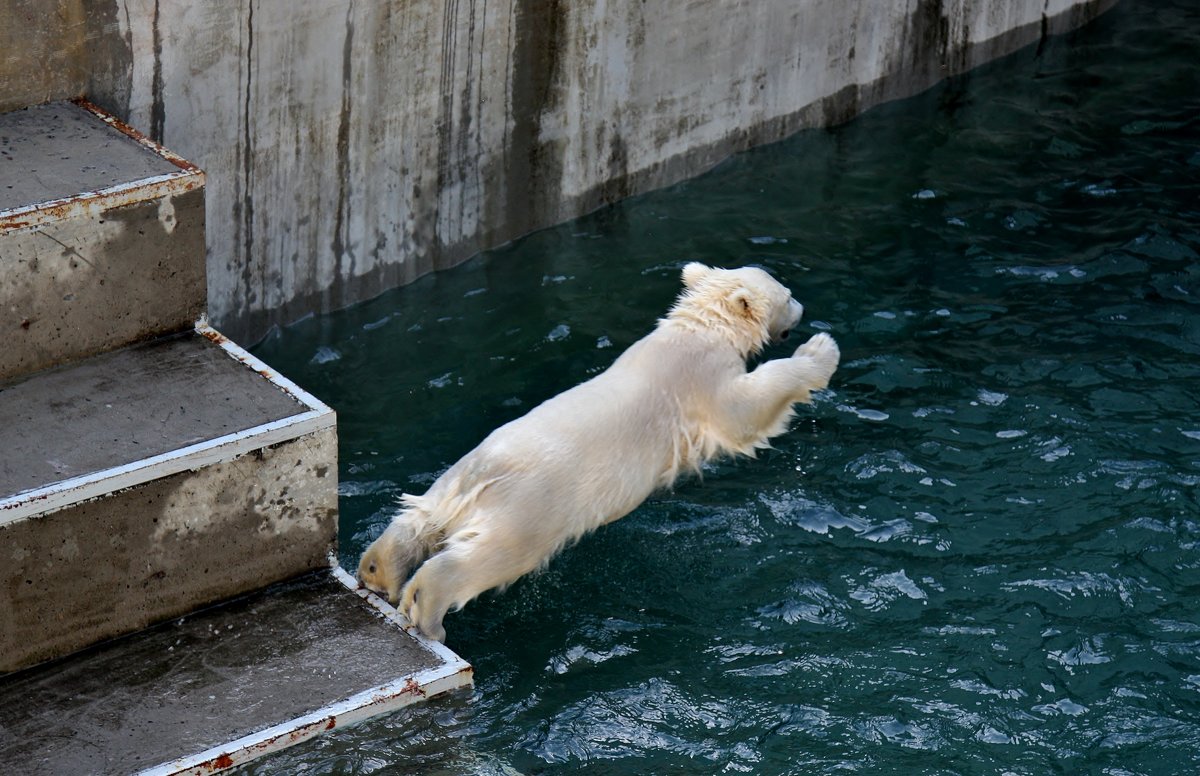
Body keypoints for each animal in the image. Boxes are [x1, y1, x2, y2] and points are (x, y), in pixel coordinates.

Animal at [360, 263, 840, 642]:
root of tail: (483, 472)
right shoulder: (701, 379)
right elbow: (745, 411)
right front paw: (821, 349)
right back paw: (428, 606)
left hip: (452, 482)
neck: (699, 328)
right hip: (529, 509)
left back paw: (379, 568)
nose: (802, 308)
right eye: (788, 294)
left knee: (418, 521)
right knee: (490, 557)